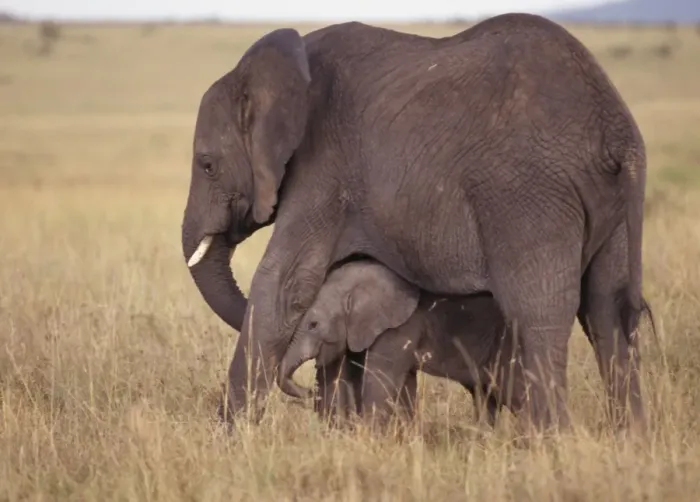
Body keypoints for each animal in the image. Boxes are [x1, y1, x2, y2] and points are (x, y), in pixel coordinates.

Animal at [277, 259, 519, 429]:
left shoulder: (399, 328)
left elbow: (381, 380)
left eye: (313, 325)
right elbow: (404, 386)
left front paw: (369, 438)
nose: (308, 391)